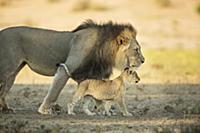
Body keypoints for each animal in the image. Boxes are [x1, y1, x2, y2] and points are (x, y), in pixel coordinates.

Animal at [0, 19, 145, 114]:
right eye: (136, 50)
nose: (143, 60)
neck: (105, 49)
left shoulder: (88, 74)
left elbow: (96, 94)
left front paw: (100, 110)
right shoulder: (66, 68)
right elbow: (55, 92)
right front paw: (44, 110)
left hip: (12, 73)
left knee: (3, 90)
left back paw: (6, 109)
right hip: (6, 68)